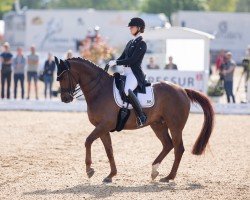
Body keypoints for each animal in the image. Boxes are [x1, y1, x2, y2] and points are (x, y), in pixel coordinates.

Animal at [55, 56, 215, 183]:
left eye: (62, 77)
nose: (65, 99)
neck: (99, 90)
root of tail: (182, 90)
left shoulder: (104, 125)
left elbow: (88, 141)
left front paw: (89, 169)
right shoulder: (103, 128)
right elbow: (109, 150)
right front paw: (111, 175)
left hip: (175, 126)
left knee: (178, 148)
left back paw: (169, 177)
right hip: (158, 125)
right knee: (168, 145)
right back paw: (154, 170)